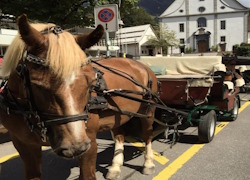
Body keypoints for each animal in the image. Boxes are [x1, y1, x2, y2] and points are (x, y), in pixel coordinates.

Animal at [0, 14, 158, 180]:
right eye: (38, 85)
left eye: (91, 82)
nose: (75, 147)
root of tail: (142, 65)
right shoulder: (25, 146)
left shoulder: (90, 144)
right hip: (119, 114)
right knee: (119, 134)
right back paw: (115, 166)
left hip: (148, 111)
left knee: (147, 134)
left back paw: (148, 163)